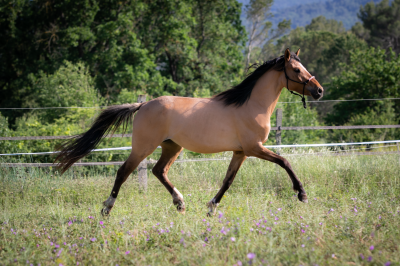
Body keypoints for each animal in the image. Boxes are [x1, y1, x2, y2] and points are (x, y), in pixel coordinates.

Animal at [54, 48, 324, 216]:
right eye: (297, 70)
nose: (319, 90)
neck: (252, 105)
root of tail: (143, 104)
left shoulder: (240, 152)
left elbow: (228, 180)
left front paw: (211, 207)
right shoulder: (254, 148)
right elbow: (285, 161)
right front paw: (302, 194)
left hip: (172, 146)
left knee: (158, 171)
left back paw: (180, 203)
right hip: (144, 147)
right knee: (124, 171)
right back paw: (107, 208)